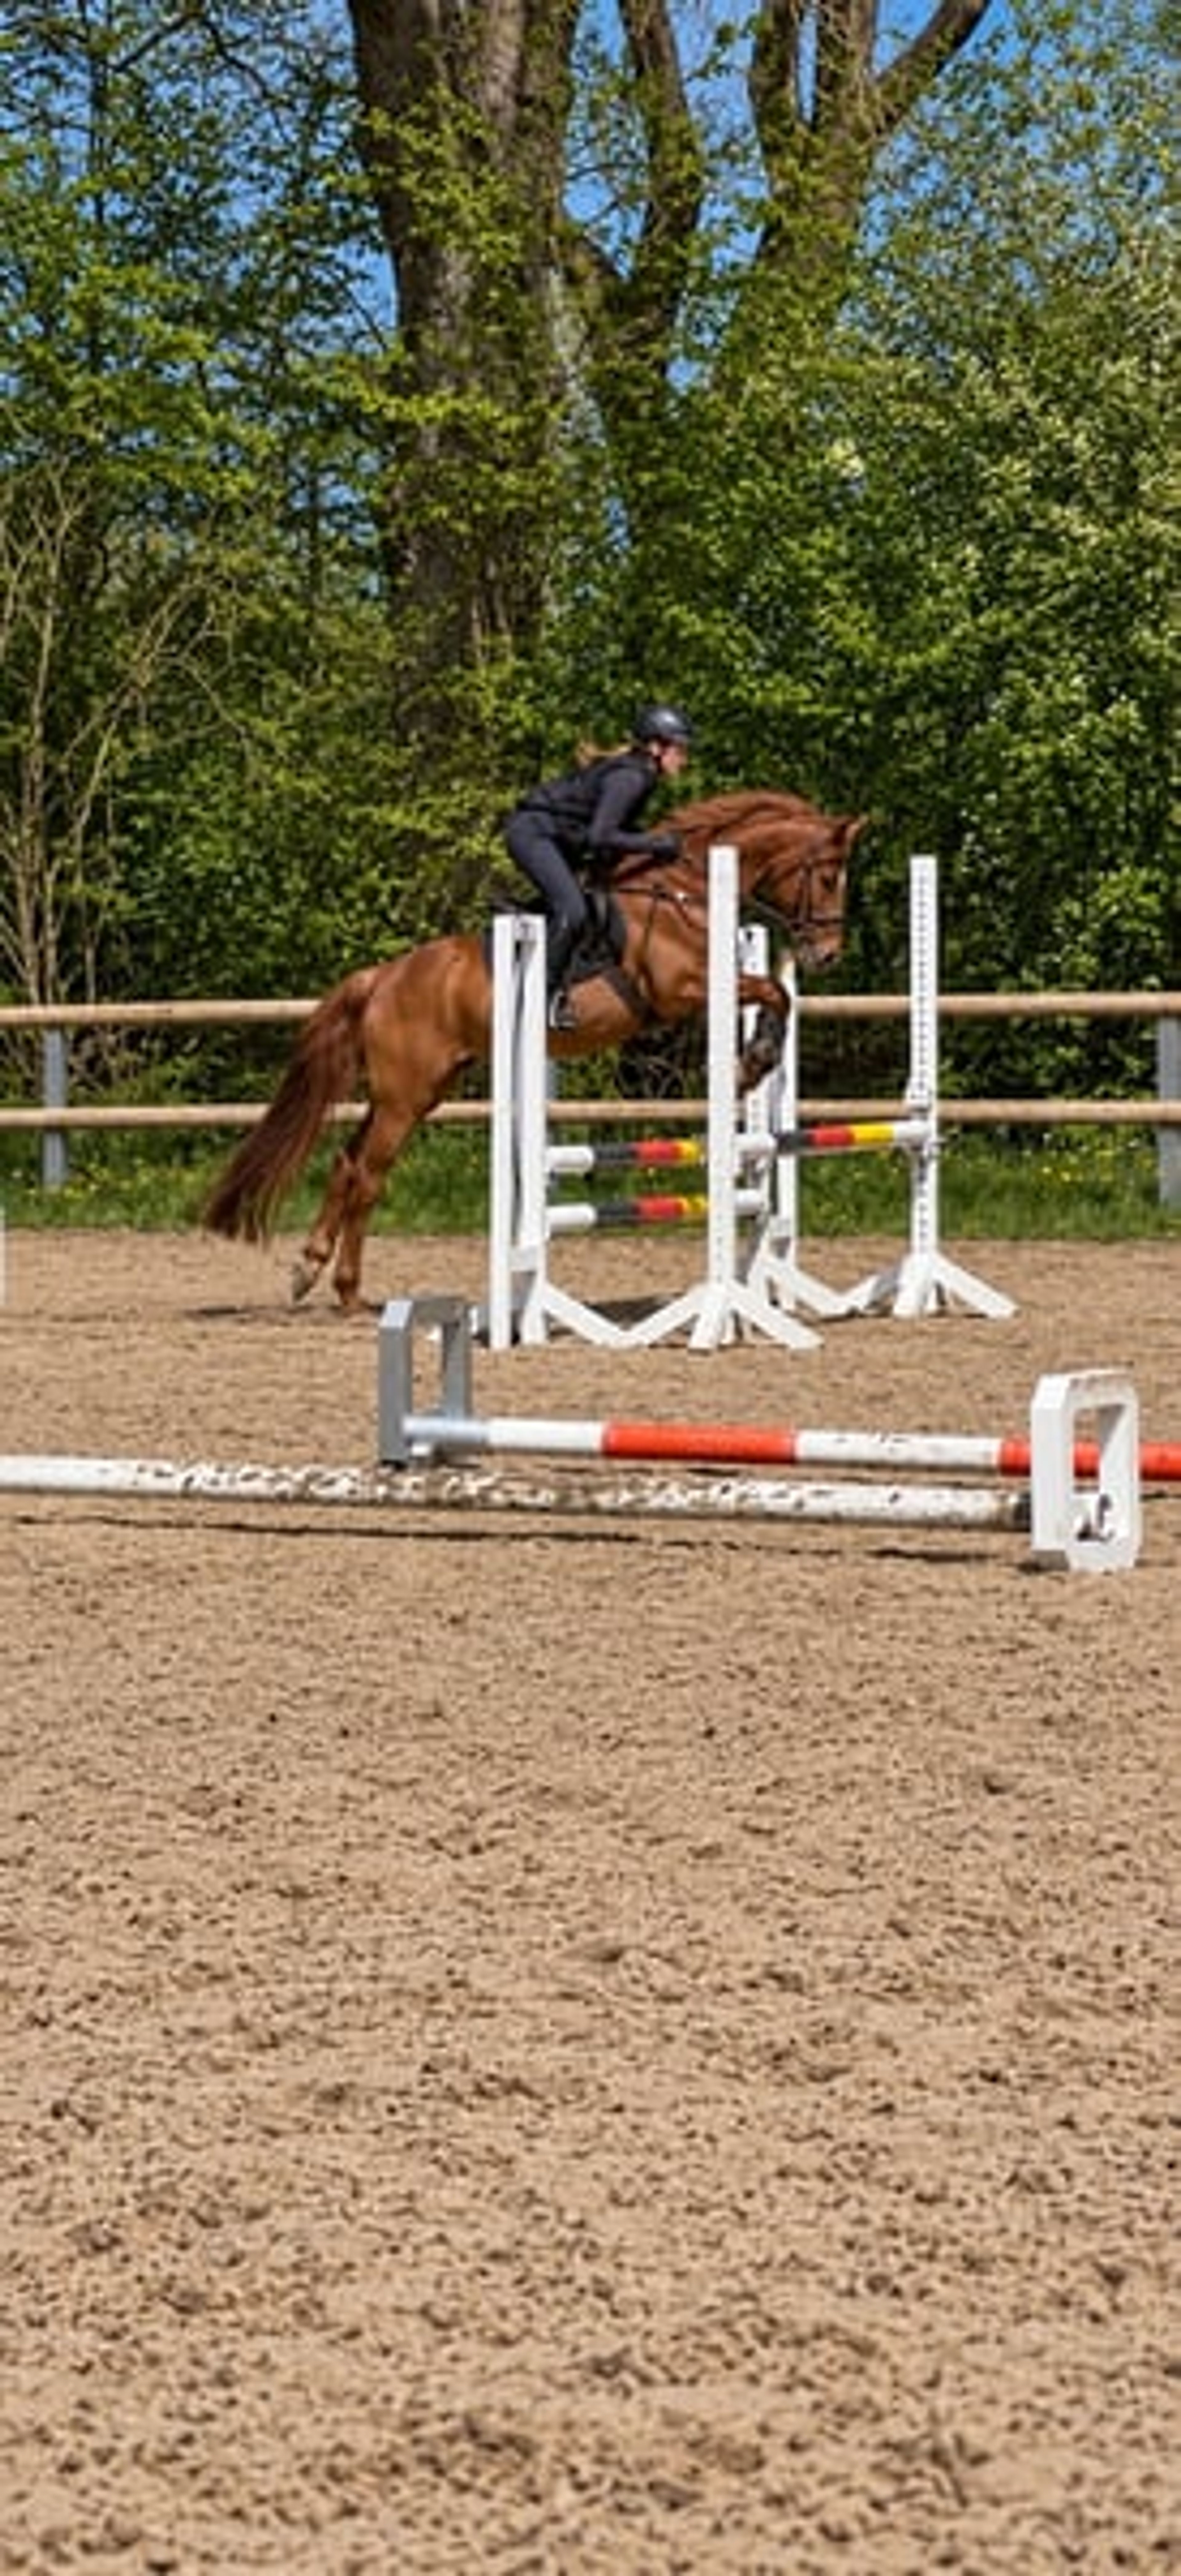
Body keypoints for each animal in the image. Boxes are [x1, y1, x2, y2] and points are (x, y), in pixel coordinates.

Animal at [203, 788, 866, 1310]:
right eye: (828, 876)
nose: (828, 954)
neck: (688, 889)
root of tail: (384, 977)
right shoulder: (683, 989)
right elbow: (774, 990)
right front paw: (750, 1064)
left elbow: (778, 992)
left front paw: (753, 1063)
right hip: (405, 1096)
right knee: (368, 1174)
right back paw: (345, 1289)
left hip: (418, 1091)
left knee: (347, 1164)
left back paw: (310, 1268)